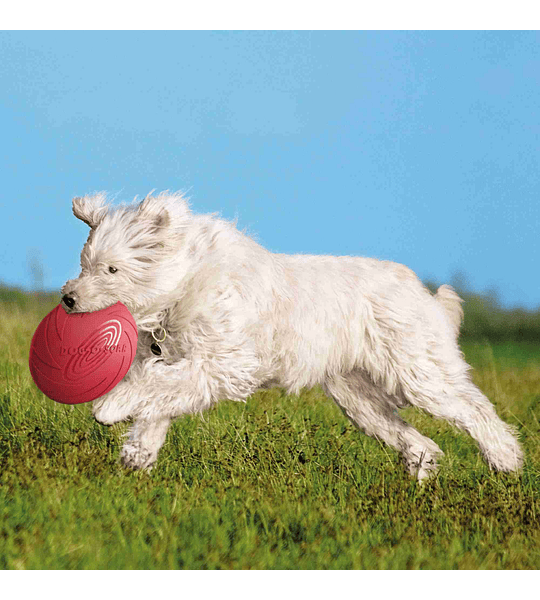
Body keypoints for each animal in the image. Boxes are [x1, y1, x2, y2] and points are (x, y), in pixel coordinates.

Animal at [62, 190, 524, 480]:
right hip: (359, 399)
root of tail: (422, 292)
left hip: (418, 373)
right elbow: (157, 401)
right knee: (421, 441)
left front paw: (110, 408)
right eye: (84, 263)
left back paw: (507, 461)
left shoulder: (224, 363)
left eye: (112, 269)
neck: (183, 283)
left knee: (475, 409)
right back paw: (423, 482)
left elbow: (153, 386)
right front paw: (136, 456)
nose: (67, 298)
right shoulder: (185, 362)